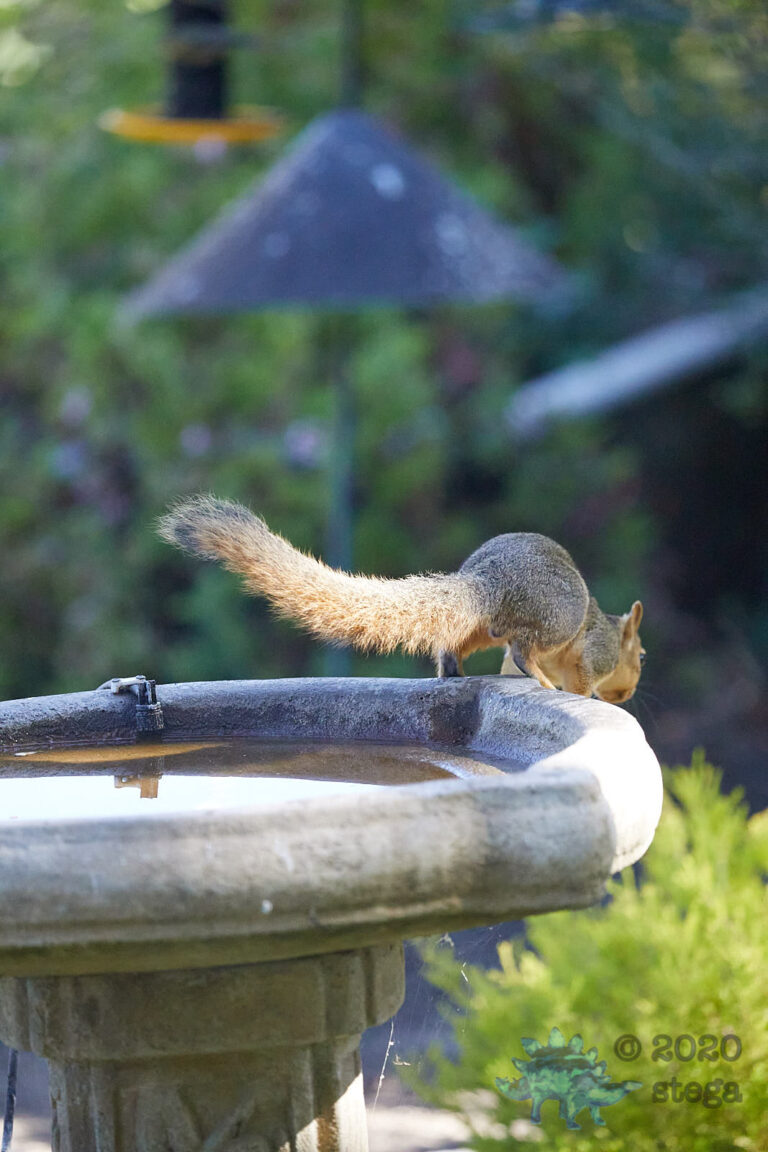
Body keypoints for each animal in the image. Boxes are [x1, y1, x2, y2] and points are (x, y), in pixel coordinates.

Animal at [158, 495, 645, 704]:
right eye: (642, 656)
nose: (627, 694)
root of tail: (488, 581)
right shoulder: (595, 652)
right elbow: (582, 678)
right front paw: (590, 698)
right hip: (558, 616)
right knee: (525, 651)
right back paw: (540, 679)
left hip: (478, 629)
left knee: (453, 646)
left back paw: (453, 674)